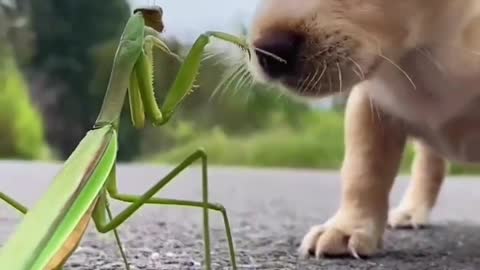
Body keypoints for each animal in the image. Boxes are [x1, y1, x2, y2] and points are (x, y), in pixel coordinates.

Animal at [246, 0, 480, 260]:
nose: (266, 53)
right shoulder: (369, 104)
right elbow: (363, 172)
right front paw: (347, 227)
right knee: (430, 166)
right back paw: (411, 210)